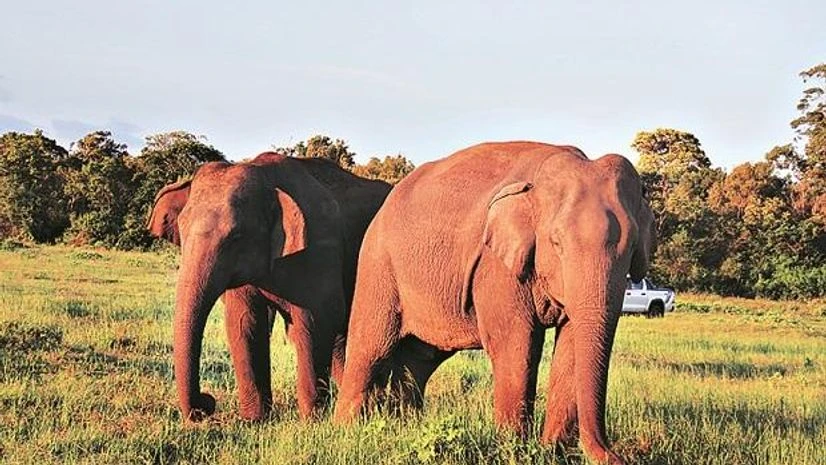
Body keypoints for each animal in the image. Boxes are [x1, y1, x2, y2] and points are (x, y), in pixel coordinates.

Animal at [147, 152, 392, 422]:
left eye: (236, 237)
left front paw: (311, 422)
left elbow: (318, 320)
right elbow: (244, 323)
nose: (207, 403)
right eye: (181, 229)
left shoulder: (318, 247)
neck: (265, 177)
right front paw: (253, 421)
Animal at [334, 141, 654, 465]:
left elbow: (571, 344)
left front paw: (553, 452)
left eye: (631, 248)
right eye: (556, 243)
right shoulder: (495, 265)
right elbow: (517, 344)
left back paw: (404, 426)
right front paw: (515, 451)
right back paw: (346, 431)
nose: (619, 456)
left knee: (419, 358)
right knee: (371, 348)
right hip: (378, 265)